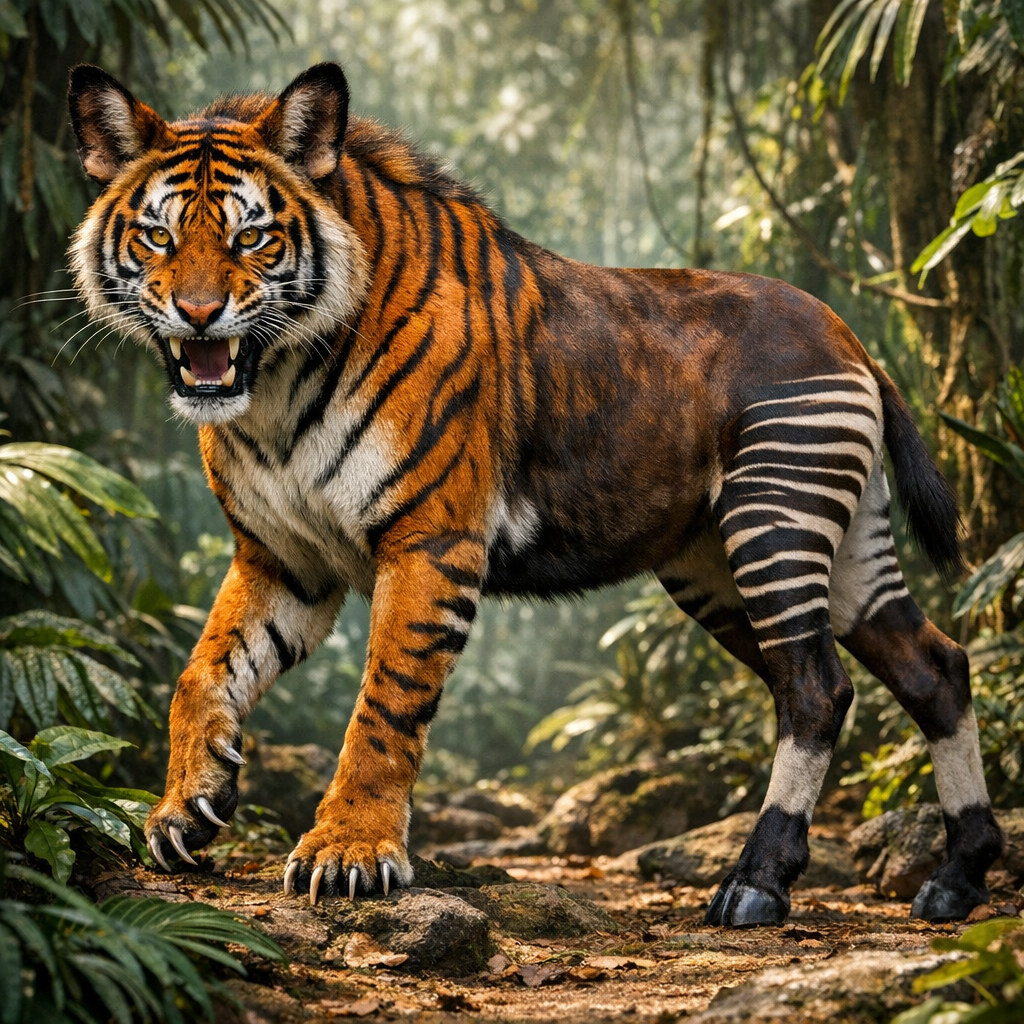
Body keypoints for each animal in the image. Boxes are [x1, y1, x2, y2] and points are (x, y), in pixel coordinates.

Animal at [68, 61, 1002, 925]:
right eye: (156, 237)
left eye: (253, 238)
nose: (198, 314)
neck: (274, 383)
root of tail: (848, 332)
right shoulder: (282, 558)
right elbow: (204, 670)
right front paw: (186, 808)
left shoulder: (430, 540)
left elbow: (383, 705)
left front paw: (348, 854)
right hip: (779, 560)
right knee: (931, 668)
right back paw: (955, 881)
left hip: (776, 522)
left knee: (816, 690)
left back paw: (756, 885)